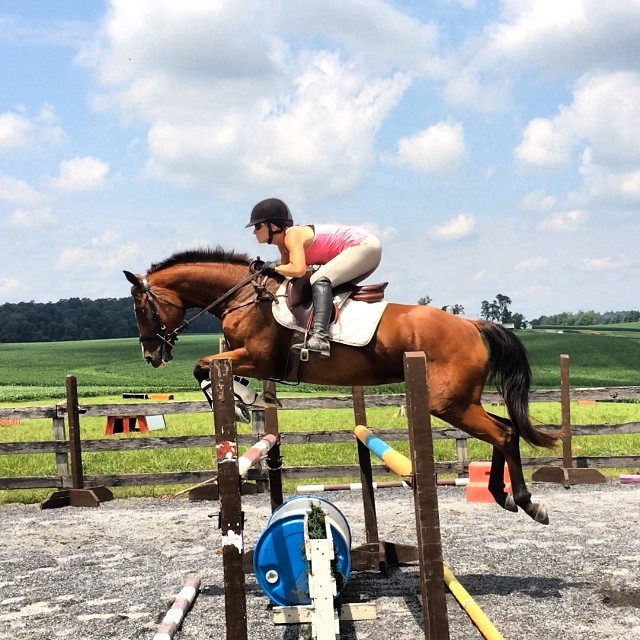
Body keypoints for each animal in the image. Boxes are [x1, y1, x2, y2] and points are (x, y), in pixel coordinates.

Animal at [125, 246, 560, 524]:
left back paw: (525, 502)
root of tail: (470, 324)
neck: (246, 297)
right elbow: (206, 367)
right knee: (505, 428)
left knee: (503, 434)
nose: (151, 355)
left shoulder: (259, 357)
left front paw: (240, 399)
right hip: (461, 401)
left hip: (449, 404)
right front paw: (243, 399)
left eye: (142, 307)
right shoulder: (245, 357)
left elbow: (202, 366)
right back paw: (503, 495)